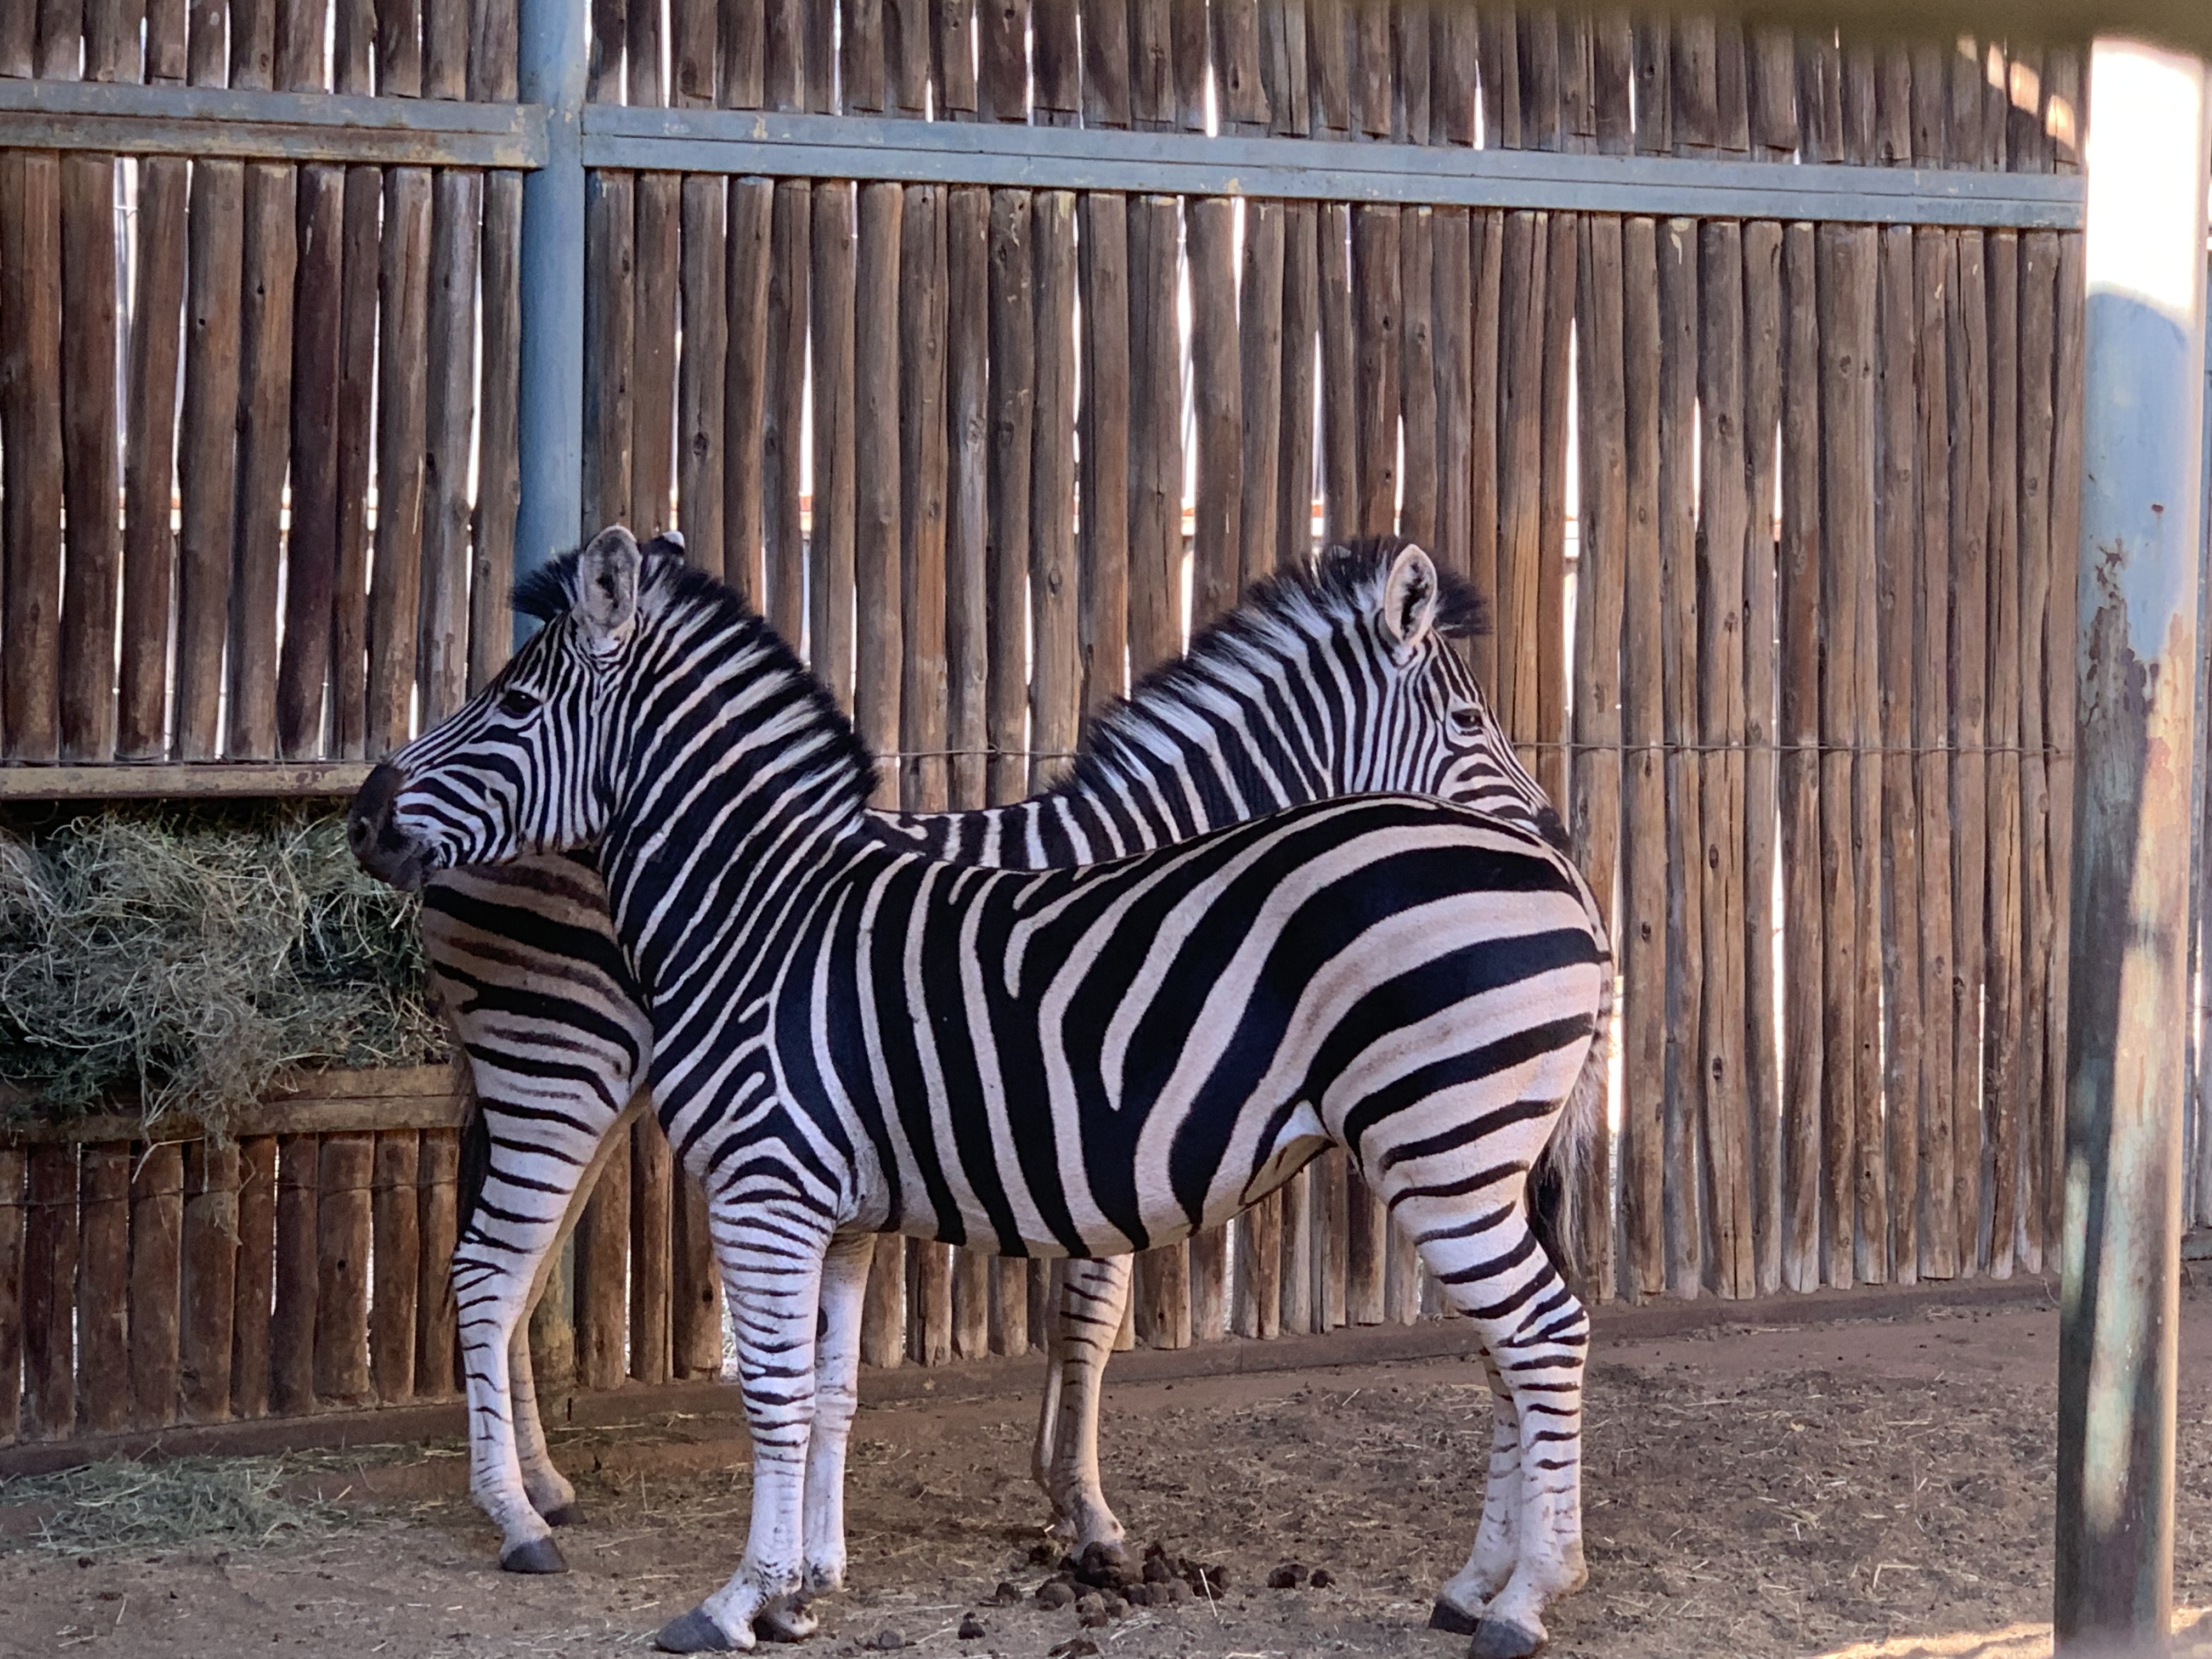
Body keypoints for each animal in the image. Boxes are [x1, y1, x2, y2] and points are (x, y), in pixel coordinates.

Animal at [351, 527, 1612, 1659]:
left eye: (513, 702)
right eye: (1469, 723)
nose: (363, 815)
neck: (765, 905)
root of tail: (1563, 897)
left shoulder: (821, 1181)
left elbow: (818, 1385)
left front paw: (772, 1591)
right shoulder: (866, 1186)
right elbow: (828, 1386)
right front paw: (812, 1581)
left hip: (1448, 1148)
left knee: (1535, 1334)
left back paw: (1515, 1597)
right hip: (561, 1068)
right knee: (497, 1269)